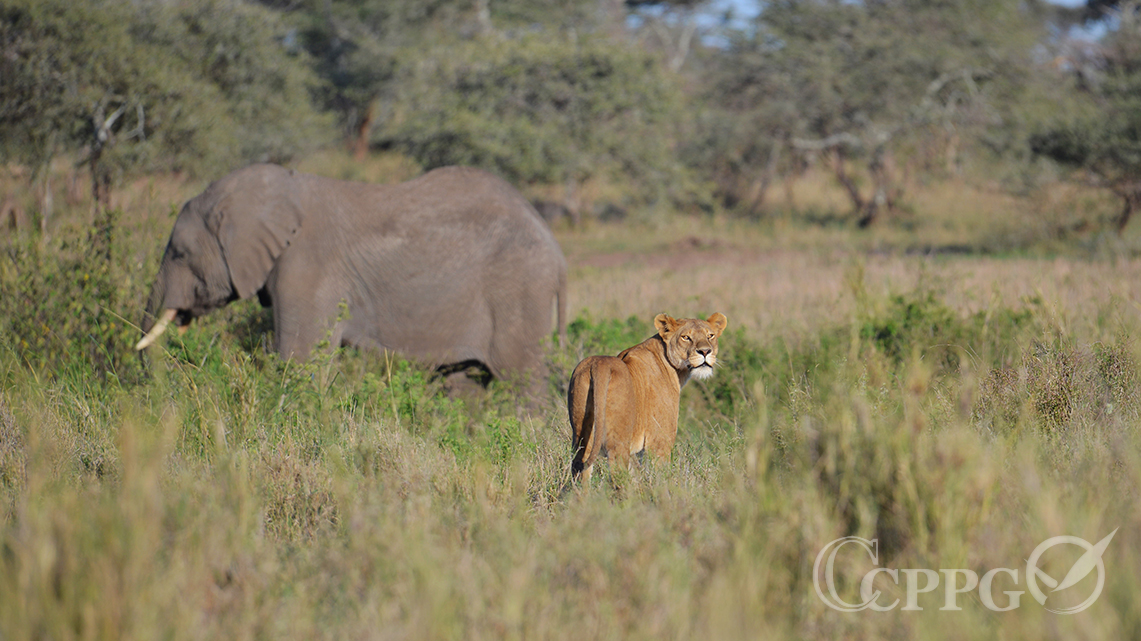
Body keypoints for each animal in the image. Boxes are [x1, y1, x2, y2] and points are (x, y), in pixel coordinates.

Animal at [138, 161, 565, 378]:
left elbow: (300, 358)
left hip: (519, 293)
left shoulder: (308, 269)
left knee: (521, 381)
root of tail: (554, 245)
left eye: (180, 254)